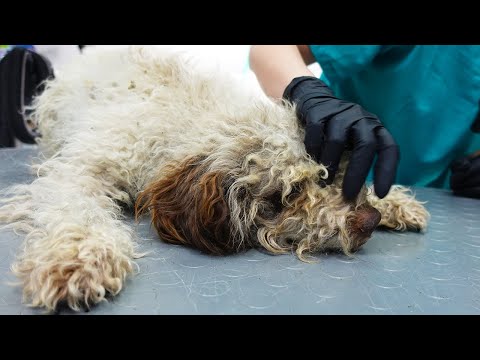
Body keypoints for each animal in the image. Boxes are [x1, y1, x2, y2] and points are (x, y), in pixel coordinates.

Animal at [0, 47, 430, 312]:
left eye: (337, 173)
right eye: (289, 193)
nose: (369, 221)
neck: (187, 121)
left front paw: (394, 202)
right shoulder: (82, 168)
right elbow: (74, 210)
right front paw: (75, 261)